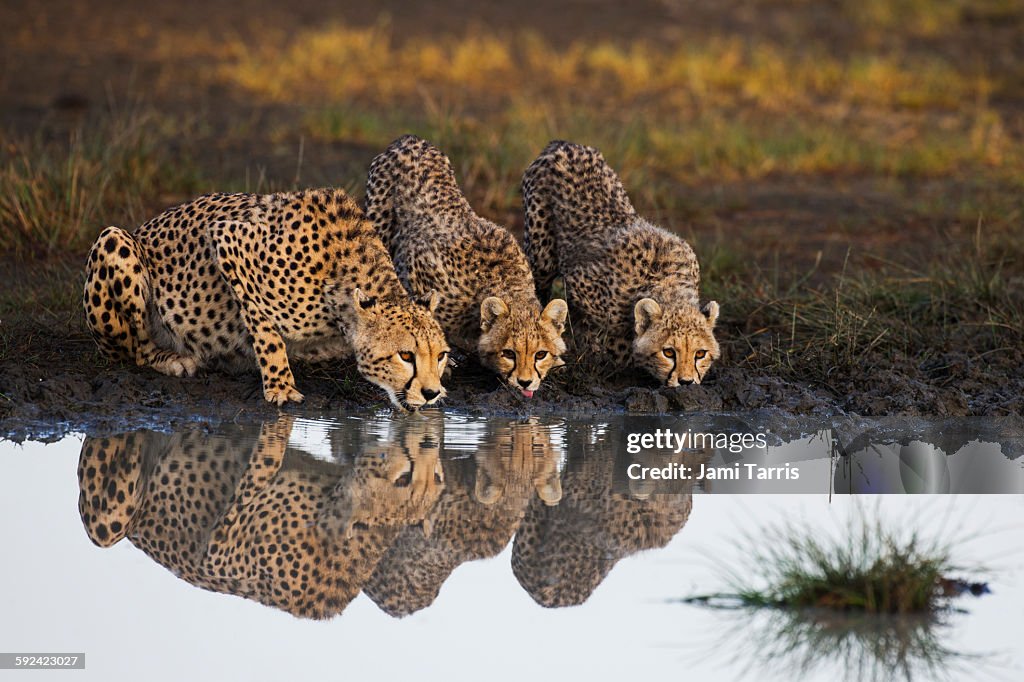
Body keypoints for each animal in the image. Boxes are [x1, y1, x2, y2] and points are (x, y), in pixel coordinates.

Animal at [76, 415, 446, 619]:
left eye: (438, 478)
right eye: (404, 479)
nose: (430, 443)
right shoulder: (218, 546)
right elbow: (269, 443)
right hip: (106, 526)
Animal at [82, 188, 448, 410]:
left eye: (441, 355)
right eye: (405, 355)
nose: (430, 393)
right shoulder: (228, 239)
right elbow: (266, 329)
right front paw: (280, 385)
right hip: (114, 239)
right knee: (135, 348)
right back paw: (171, 358)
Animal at [365, 135, 568, 398]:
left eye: (541, 354)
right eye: (509, 353)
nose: (525, 383)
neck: (504, 281)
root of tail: (410, 139)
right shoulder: (418, 266)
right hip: (379, 223)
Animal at [522, 140, 721, 387]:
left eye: (700, 353)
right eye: (669, 352)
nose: (686, 382)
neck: (665, 280)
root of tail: (564, 144)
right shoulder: (579, 282)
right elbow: (599, 333)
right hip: (542, 254)